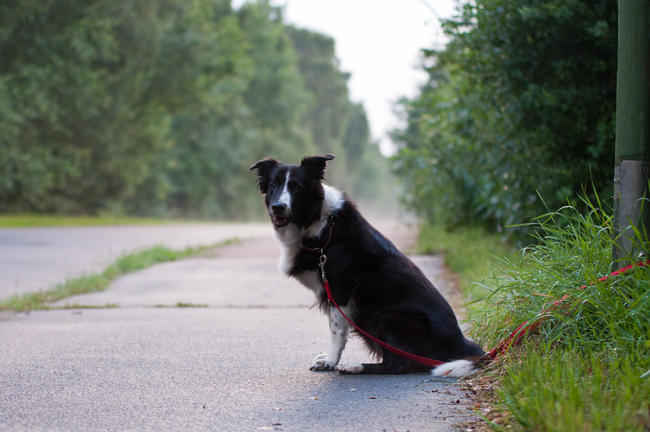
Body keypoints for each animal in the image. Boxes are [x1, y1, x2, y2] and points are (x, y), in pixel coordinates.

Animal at [251, 154, 484, 374]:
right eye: (273, 186)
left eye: (297, 187)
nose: (278, 207)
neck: (321, 225)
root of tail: (462, 344)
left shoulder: (339, 289)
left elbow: (336, 330)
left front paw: (330, 361)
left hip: (386, 318)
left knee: (399, 364)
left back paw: (355, 367)